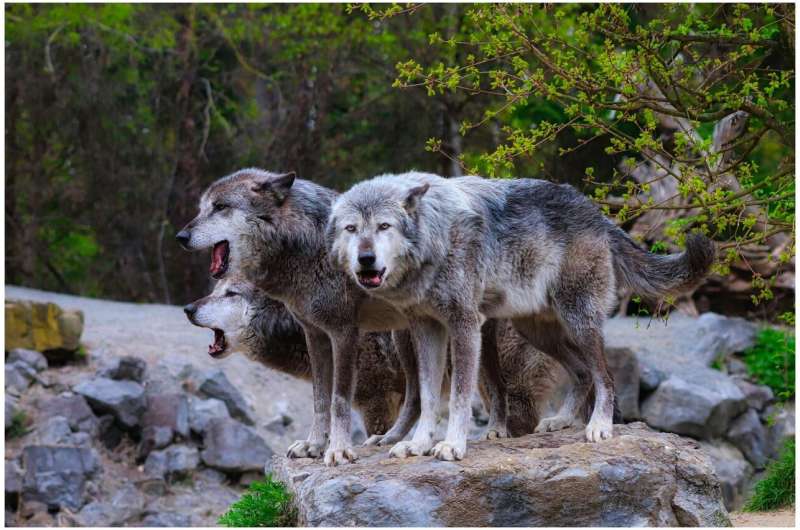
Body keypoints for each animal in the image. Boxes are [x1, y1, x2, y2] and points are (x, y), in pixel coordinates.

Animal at [328, 170, 716, 458]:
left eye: (384, 226)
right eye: (352, 229)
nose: (365, 259)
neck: (436, 235)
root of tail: (596, 212)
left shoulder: (464, 325)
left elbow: (458, 397)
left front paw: (452, 445)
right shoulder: (427, 330)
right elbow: (427, 396)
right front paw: (418, 444)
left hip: (578, 321)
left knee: (604, 376)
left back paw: (599, 427)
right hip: (538, 332)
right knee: (582, 373)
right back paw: (561, 420)